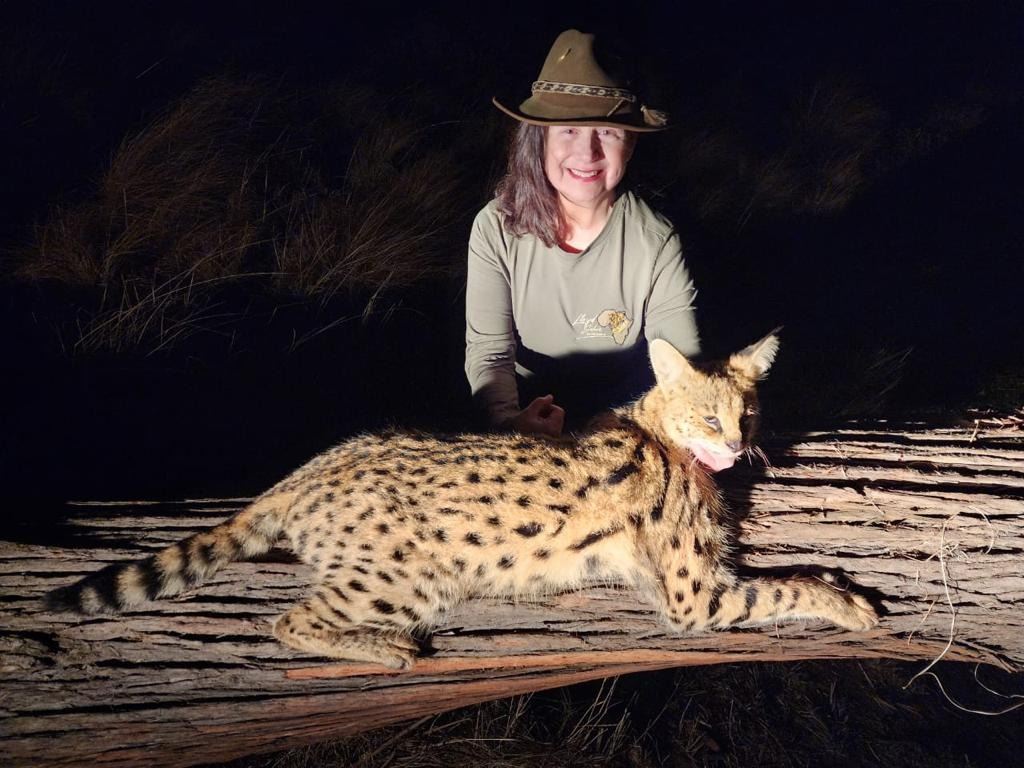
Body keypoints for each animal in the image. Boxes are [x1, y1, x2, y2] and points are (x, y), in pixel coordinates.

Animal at [46, 332, 878, 669]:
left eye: (749, 413)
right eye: (708, 417)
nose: (737, 446)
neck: (661, 438)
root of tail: (306, 471)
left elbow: (792, 574)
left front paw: (839, 580)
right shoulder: (694, 597)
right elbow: (781, 588)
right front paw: (847, 603)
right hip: (411, 579)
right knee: (289, 620)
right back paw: (386, 649)